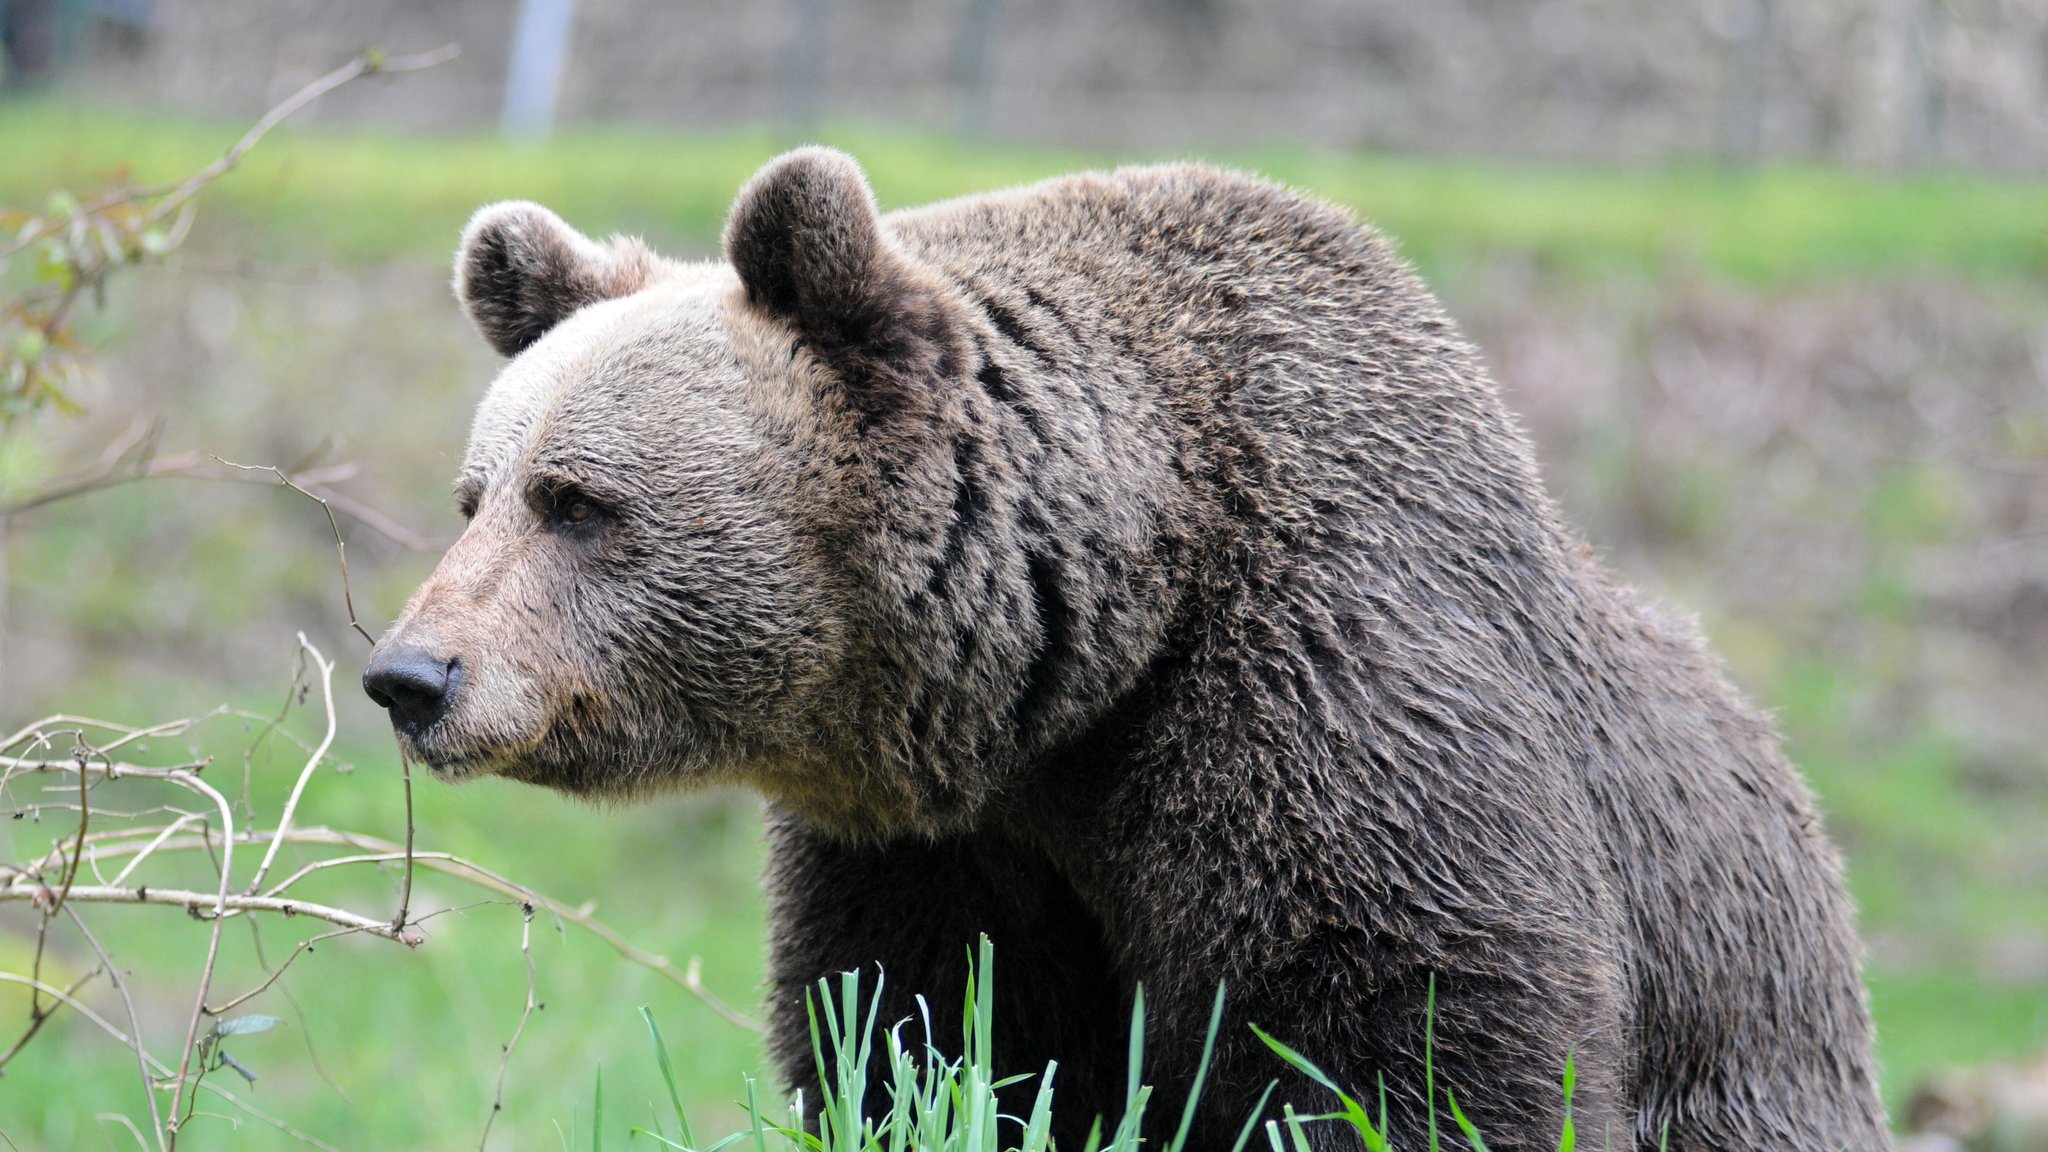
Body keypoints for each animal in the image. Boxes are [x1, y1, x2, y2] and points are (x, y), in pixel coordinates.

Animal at [364, 147, 1884, 1147]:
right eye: (475, 495)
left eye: (578, 501)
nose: (410, 676)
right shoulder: (941, 854)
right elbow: (928, 1045)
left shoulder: (1333, 708)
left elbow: (1415, 1043)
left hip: (1748, 1053)